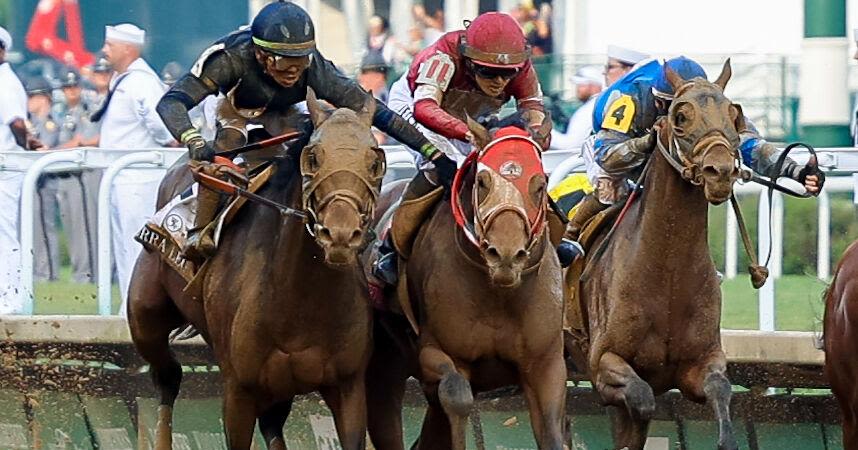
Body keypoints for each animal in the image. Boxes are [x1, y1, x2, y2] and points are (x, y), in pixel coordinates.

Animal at [125, 89, 382, 448]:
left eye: (374, 161)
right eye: (313, 158)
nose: (341, 235)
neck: (300, 302)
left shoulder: (348, 387)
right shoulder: (239, 390)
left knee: (271, 422)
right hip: (145, 317)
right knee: (167, 378)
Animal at [364, 122, 564, 450]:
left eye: (540, 184)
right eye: (482, 182)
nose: (505, 255)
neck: (499, 294)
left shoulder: (545, 365)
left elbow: (552, 432)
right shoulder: (436, 354)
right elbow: (457, 397)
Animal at [580, 60, 744, 450]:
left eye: (733, 115)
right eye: (681, 115)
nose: (720, 171)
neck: (667, 270)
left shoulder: (702, 361)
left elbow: (720, 389)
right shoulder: (602, 362)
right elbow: (640, 401)